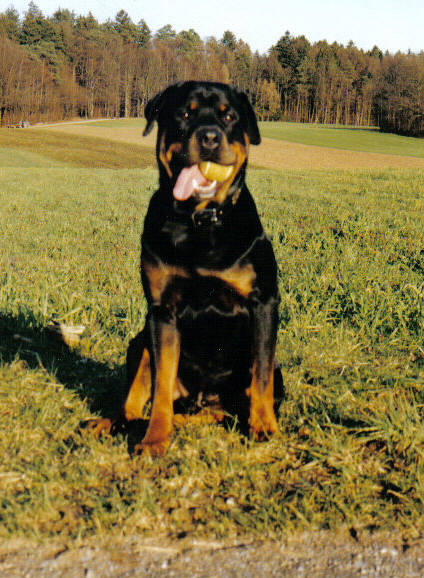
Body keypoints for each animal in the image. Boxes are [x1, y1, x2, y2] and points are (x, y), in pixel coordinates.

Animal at [90, 81, 280, 454]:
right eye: (184, 113)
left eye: (229, 116)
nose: (209, 137)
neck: (199, 222)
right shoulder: (162, 311)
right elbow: (161, 382)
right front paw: (154, 438)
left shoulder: (263, 303)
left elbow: (261, 375)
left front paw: (264, 426)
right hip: (138, 341)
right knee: (135, 399)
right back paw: (112, 422)